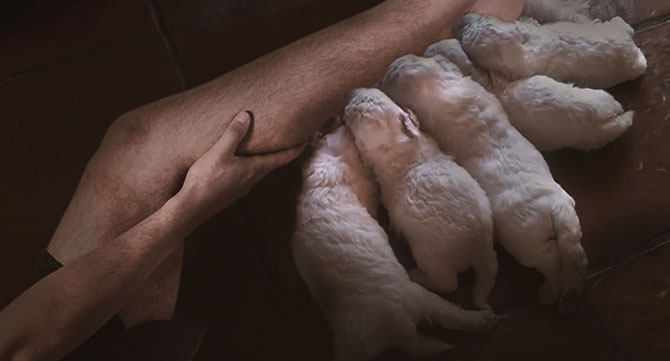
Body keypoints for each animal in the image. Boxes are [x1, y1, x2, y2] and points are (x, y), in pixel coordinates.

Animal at [292, 126, 496, 360]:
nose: (341, 122)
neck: (319, 180)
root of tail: (399, 330)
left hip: (355, 346)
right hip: (418, 294)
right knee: (450, 310)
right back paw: (480, 320)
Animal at [346, 88, 498, 310]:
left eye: (365, 110)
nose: (351, 92)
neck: (400, 141)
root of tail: (481, 247)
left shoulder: (373, 154)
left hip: (431, 255)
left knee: (448, 283)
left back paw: (416, 275)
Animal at [380, 54, 592, 312]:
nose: (392, 65)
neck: (441, 91)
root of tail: (556, 203)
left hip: (527, 242)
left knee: (553, 261)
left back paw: (549, 293)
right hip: (559, 231)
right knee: (572, 259)